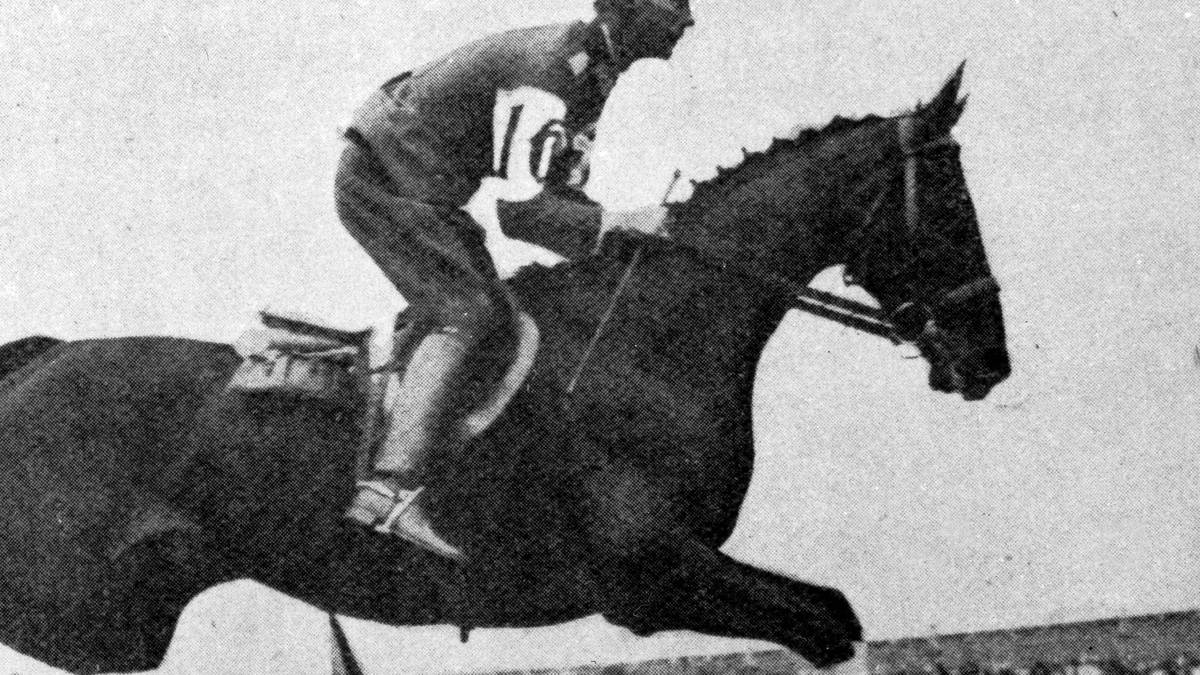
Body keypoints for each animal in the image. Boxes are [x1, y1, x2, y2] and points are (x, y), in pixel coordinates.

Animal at [0, 65, 1009, 674]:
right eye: (951, 203)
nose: (989, 358)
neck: (647, 340)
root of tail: (33, 364)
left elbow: (835, 615)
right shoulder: (650, 575)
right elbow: (827, 621)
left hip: (107, 627)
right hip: (63, 604)